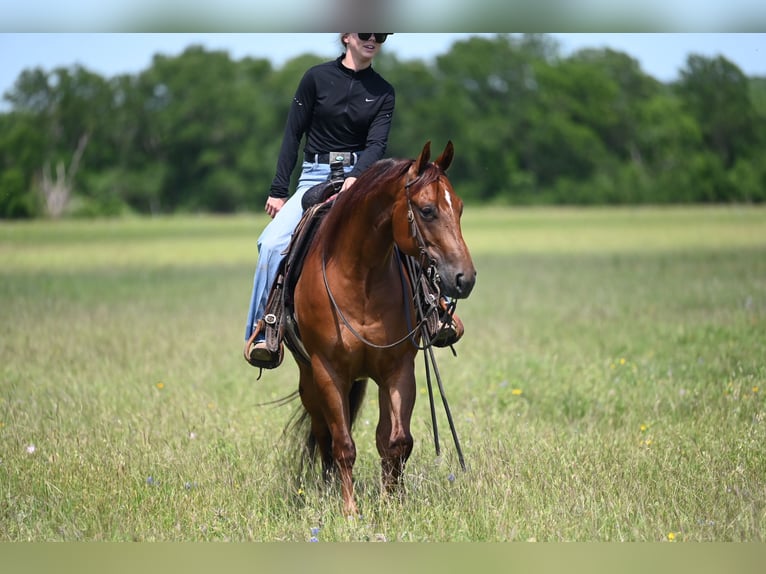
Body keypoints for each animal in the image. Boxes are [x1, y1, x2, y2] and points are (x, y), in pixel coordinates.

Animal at [289, 140, 476, 515]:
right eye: (427, 210)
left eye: (460, 207)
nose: (465, 278)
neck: (360, 276)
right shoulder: (328, 372)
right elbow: (343, 443)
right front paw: (349, 510)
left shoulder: (397, 368)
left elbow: (398, 441)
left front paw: (393, 503)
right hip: (309, 379)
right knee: (324, 435)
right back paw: (328, 489)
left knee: (380, 436)